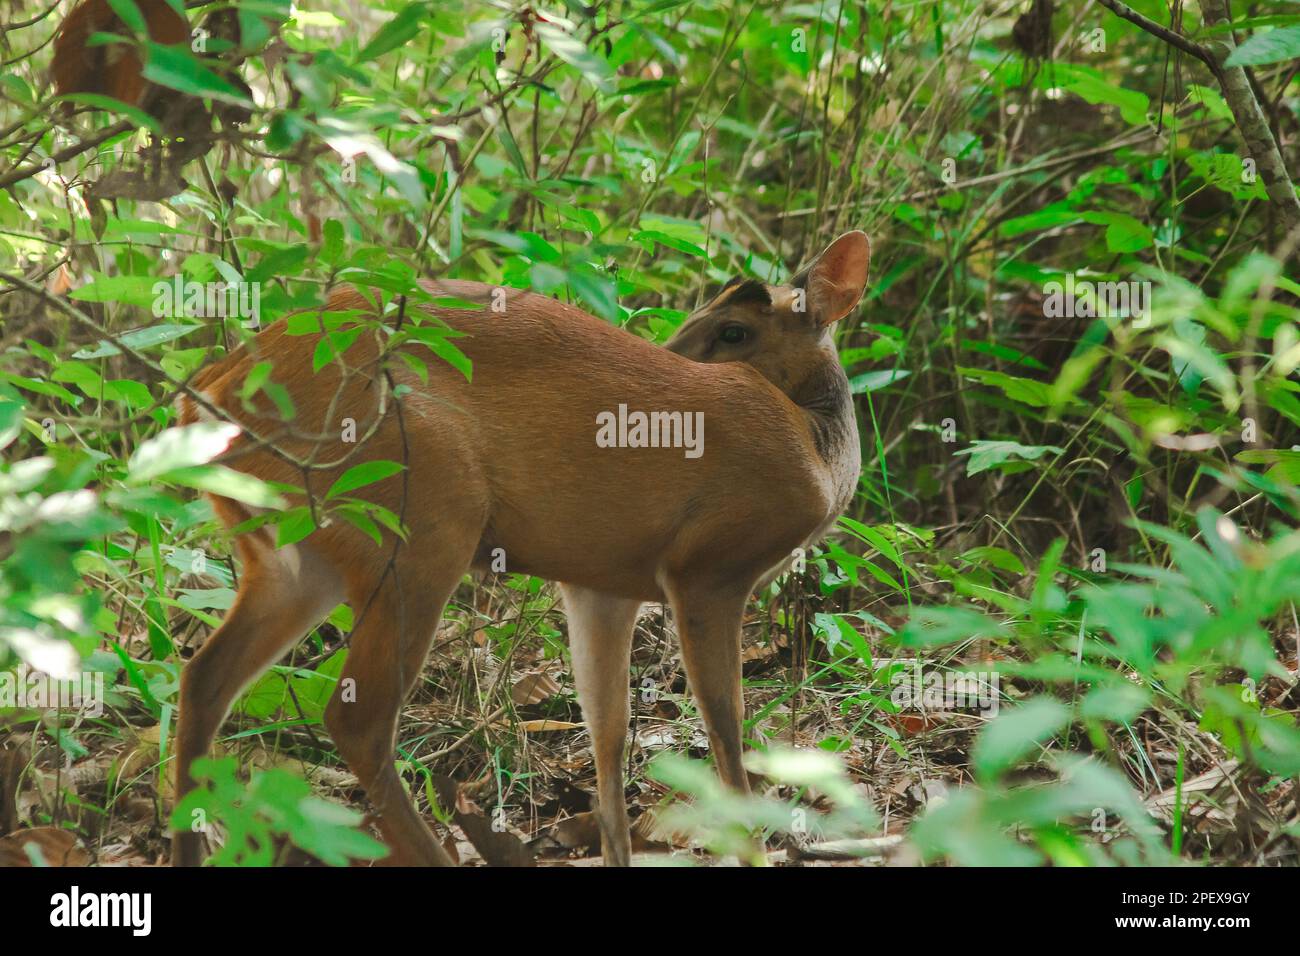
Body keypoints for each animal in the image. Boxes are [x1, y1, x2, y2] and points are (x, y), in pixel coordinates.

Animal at [167, 227, 868, 863]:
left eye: (734, 331)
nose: (664, 355)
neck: (818, 453)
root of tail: (215, 391)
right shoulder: (708, 566)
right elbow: (725, 727)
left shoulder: (602, 582)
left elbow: (608, 733)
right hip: (421, 515)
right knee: (357, 719)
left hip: (297, 558)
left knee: (202, 678)